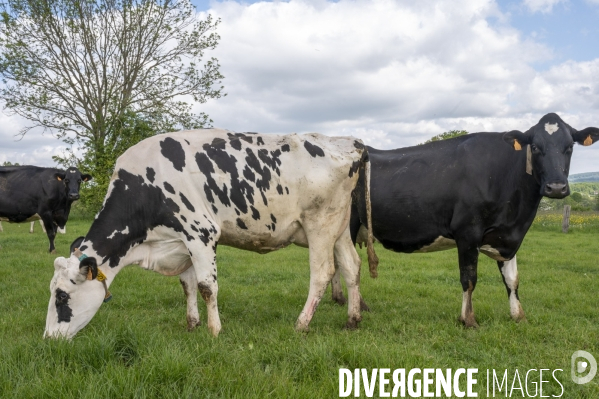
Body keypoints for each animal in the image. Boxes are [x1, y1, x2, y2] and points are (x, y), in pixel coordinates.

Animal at [44, 130, 378, 340]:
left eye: (61, 296)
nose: (49, 338)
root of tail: (348, 141)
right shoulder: (182, 242)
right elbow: (187, 285)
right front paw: (192, 324)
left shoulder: (201, 233)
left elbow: (206, 286)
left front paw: (214, 331)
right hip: (338, 229)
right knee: (351, 266)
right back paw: (353, 320)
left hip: (320, 224)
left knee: (322, 273)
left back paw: (301, 323)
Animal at [338, 112, 599, 328]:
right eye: (534, 147)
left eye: (569, 147)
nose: (556, 187)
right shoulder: (468, 232)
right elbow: (469, 279)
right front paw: (468, 319)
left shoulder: (508, 238)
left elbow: (512, 280)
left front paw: (518, 316)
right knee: (344, 263)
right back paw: (356, 307)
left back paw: (342, 300)